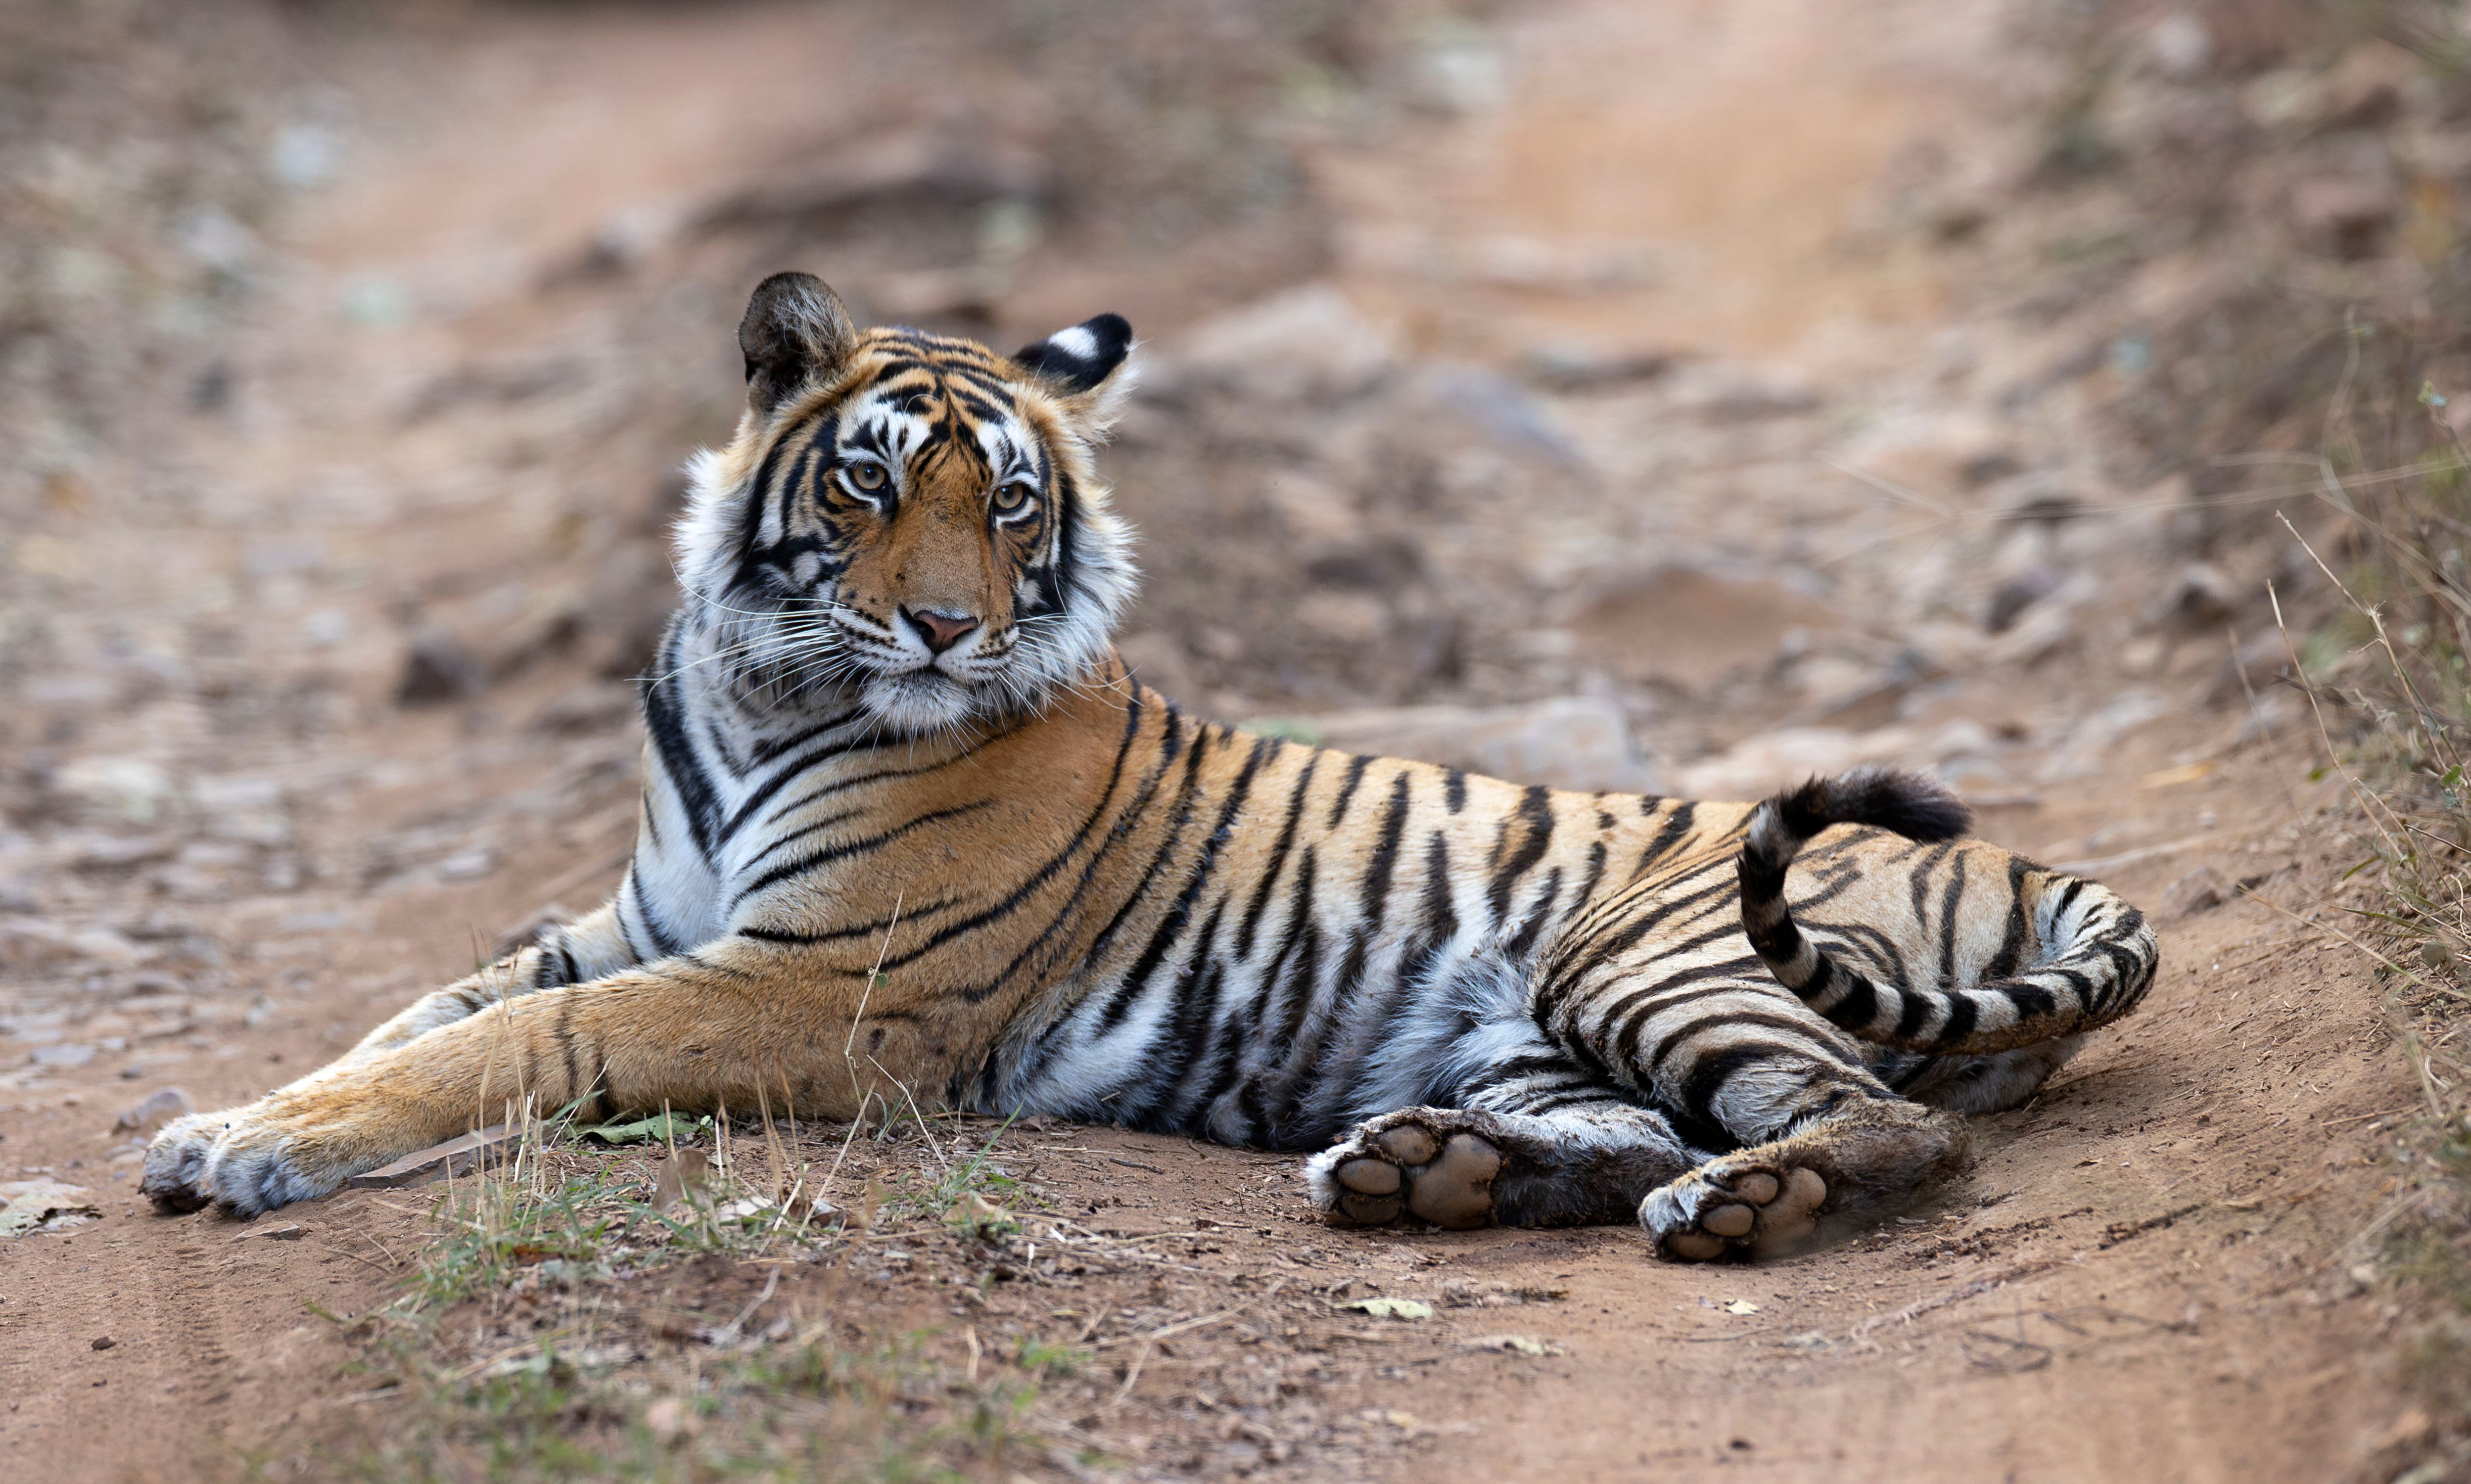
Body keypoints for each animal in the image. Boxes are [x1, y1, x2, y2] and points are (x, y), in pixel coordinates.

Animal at [143, 272, 2160, 1259]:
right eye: (871, 483)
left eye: (1011, 503)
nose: (943, 629)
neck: (757, 687)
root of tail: (2033, 862)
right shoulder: (634, 913)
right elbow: (423, 1013)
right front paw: (223, 1119)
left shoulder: (816, 981)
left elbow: (515, 1044)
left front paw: (254, 1146)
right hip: (1532, 1027)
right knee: (1632, 1131)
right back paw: (1429, 1177)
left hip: (1654, 953)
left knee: (1862, 1118)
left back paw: (1737, 1209)